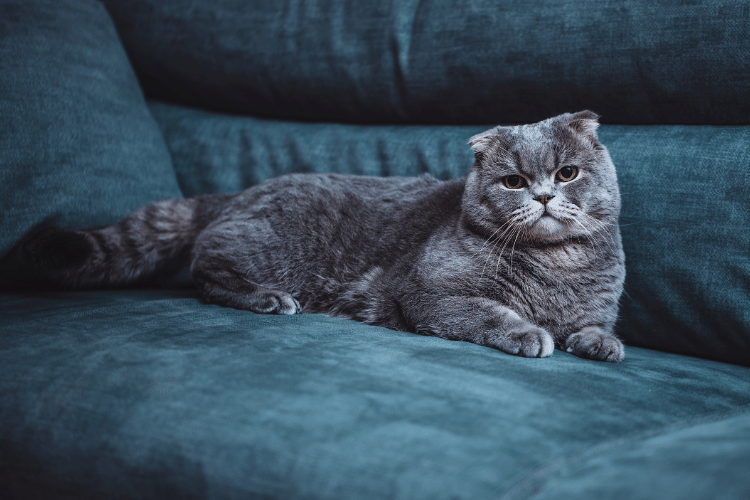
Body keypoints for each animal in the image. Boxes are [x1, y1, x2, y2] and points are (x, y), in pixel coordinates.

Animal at [10, 112, 628, 364]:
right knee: (207, 272)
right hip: (269, 247)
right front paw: (529, 333)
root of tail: (238, 194)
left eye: (567, 173)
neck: (558, 264)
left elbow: (596, 326)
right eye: (514, 181)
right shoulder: (433, 294)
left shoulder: (596, 305)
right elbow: (491, 313)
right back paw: (268, 299)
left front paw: (601, 344)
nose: (543, 196)